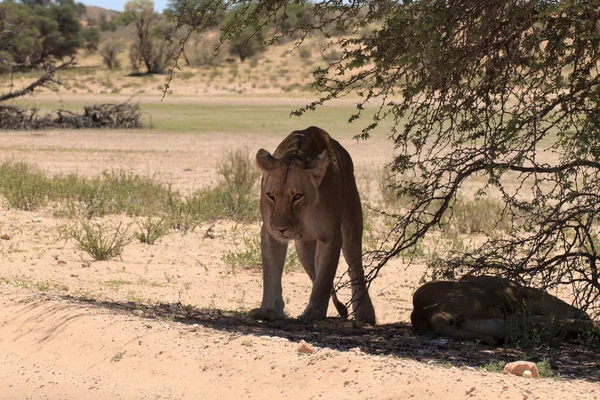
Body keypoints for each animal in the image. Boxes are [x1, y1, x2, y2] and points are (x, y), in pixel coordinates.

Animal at [248, 126, 376, 324]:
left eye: (297, 196)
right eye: (270, 195)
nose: (281, 228)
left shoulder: (331, 237)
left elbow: (324, 278)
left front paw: (314, 314)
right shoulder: (269, 234)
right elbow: (271, 273)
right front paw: (269, 310)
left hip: (351, 225)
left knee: (355, 269)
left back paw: (365, 315)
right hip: (304, 249)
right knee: (315, 272)